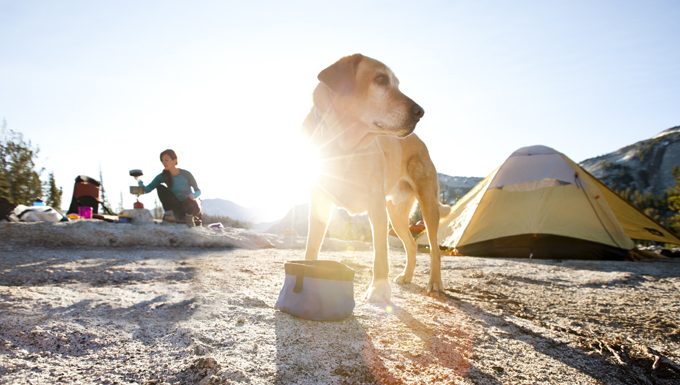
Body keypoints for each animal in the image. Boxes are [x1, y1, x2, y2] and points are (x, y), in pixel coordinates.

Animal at [302, 53, 446, 304]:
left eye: (397, 84)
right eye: (380, 79)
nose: (420, 112)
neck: (344, 146)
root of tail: (420, 141)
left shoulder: (376, 205)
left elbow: (380, 253)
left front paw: (378, 289)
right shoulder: (320, 201)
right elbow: (312, 246)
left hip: (427, 206)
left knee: (435, 249)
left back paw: (435, 284)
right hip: (396, 214)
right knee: (411, 245)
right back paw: (407, 276)